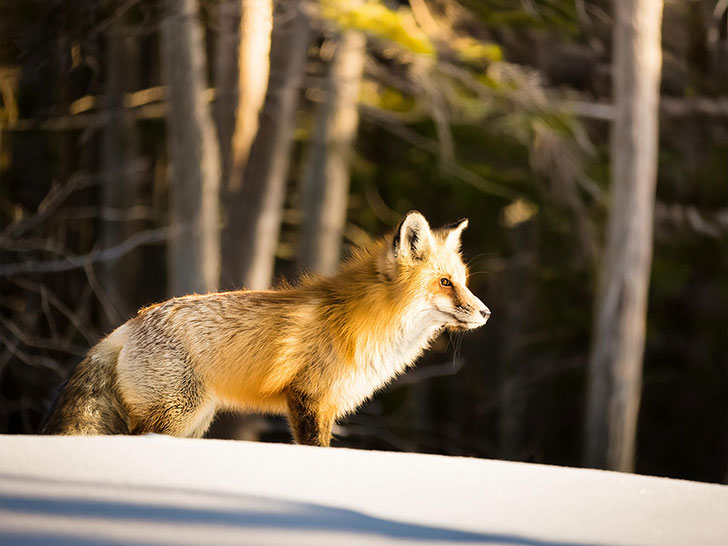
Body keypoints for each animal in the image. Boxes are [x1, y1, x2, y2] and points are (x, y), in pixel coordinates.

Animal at [42, 210, 492, 444]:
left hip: (194, 421)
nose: (486, 313)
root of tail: (128, 323)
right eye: (445, 283)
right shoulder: (309, 398)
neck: (365, 321)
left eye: (463, 280)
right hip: (174, 414)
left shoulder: (327, 404)